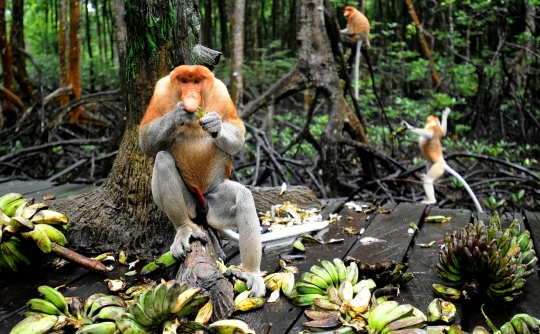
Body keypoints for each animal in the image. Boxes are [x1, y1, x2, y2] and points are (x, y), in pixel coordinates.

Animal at [139, 64, 266, 296]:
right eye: (184, 81)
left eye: (197, 81)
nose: (190, 95)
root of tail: (202, 207)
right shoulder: (160, 91)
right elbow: (145, 141)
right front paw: (179, 113)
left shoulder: (222, 93)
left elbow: (237, 136)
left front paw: (215, 124)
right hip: (189, 203)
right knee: (162, 160)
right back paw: (185, 228)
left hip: (215, 205)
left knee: (243, 197)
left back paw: (251, 273)